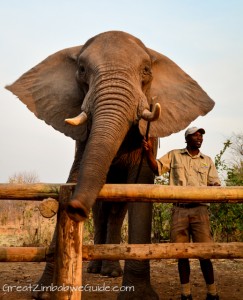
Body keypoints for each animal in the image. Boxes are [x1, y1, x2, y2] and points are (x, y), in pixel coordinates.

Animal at [6, 31, 215, 300]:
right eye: (82, 70)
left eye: (146, 70)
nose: (75, 208)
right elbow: (76, 175)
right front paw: (42, 293)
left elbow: (140, 188)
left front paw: (137, 297)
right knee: (102, 210)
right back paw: (97, 269)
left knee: (118, 209)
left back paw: (111, 272)